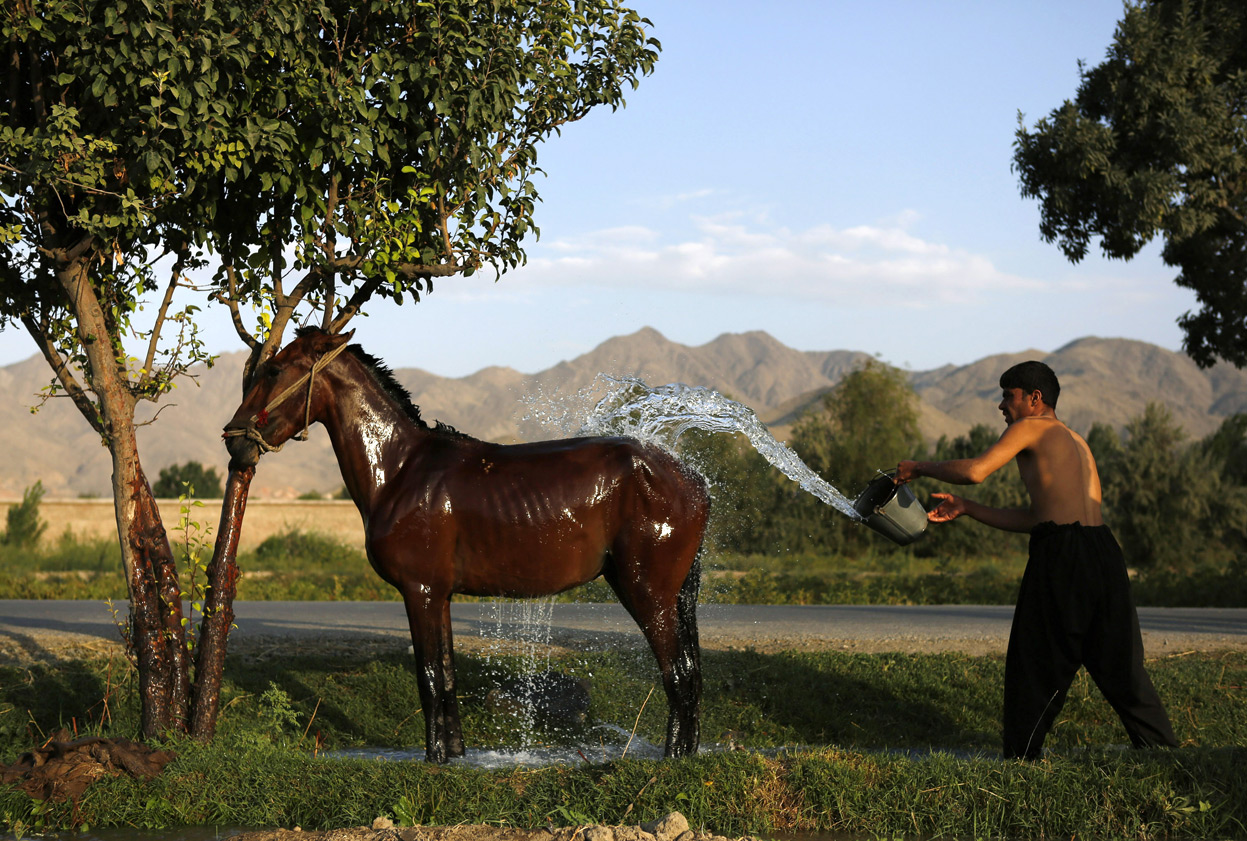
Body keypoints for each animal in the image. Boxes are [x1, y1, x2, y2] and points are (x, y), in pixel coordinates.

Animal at [226, 326, 713, 758]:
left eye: (275, 370)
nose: (233, 440)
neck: (399, 469)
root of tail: (691, 477)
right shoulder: (439, 595)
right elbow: (446, 676)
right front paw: (455, 753)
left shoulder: (419, 592)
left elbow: (427, 677)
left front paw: (434, 759)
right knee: (689, 673)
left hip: (647, 591)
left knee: (679, 673)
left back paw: (674, 759)